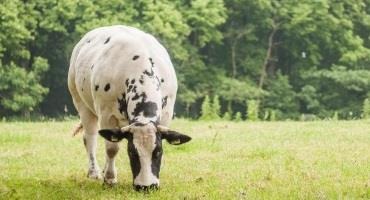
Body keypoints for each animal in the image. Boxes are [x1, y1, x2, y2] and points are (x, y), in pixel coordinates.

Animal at [67, 25, 192, 191]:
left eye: (158, 151)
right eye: (132, 152)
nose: (146, 186)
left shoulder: (166, 114)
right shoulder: (107, 114)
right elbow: (111, 148)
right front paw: (110, 179)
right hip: (80, 102)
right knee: (90, 137)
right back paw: (94, 172)